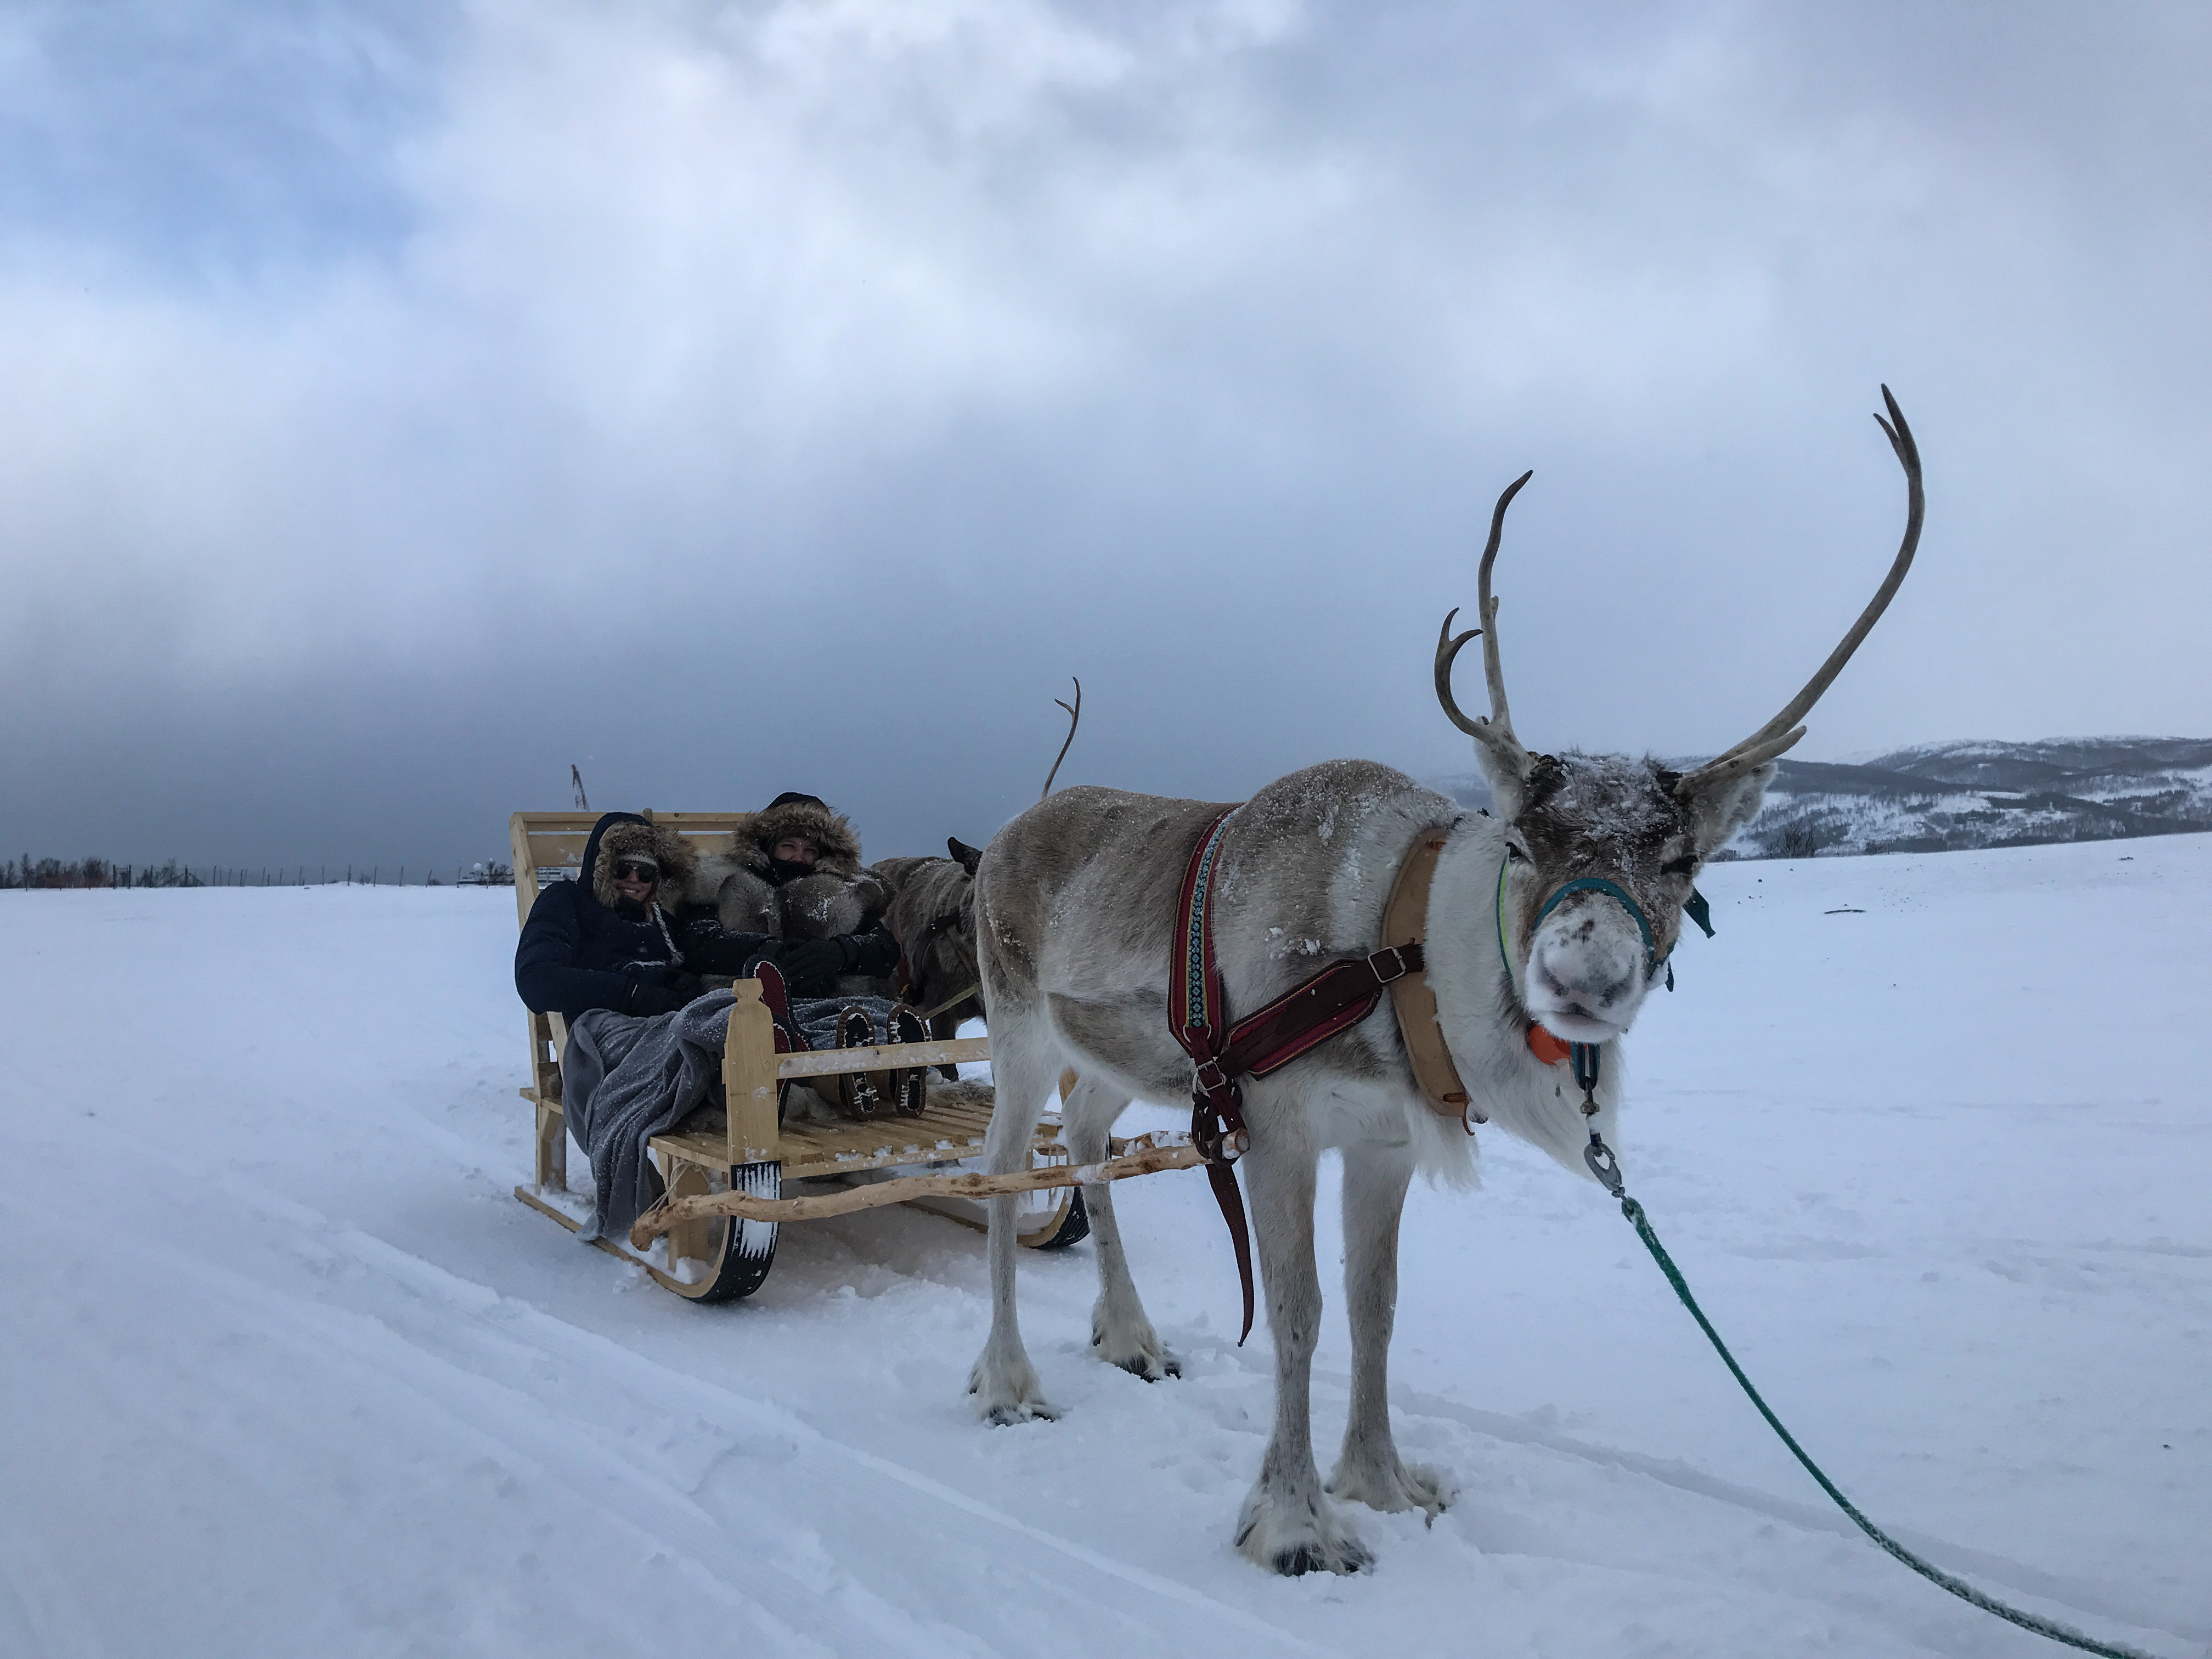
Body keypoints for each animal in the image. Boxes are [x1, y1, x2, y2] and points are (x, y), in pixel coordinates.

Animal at [964, 390, 1923, 1576]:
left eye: (1683, 856)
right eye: (1522, 839)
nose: (1583, 974)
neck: (1396, 951)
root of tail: (1000, 831)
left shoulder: (1380, 1141)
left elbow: (1375, 1307)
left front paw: (1381, 1480)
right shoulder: (1279, 1127)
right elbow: (1300, 1314)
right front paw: (1293, 1522)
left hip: (1114, 1059)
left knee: (1090, 1143)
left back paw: (1131, 1335)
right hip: (1017, 1029)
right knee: (1000, 1174)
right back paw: (1008, 1378)